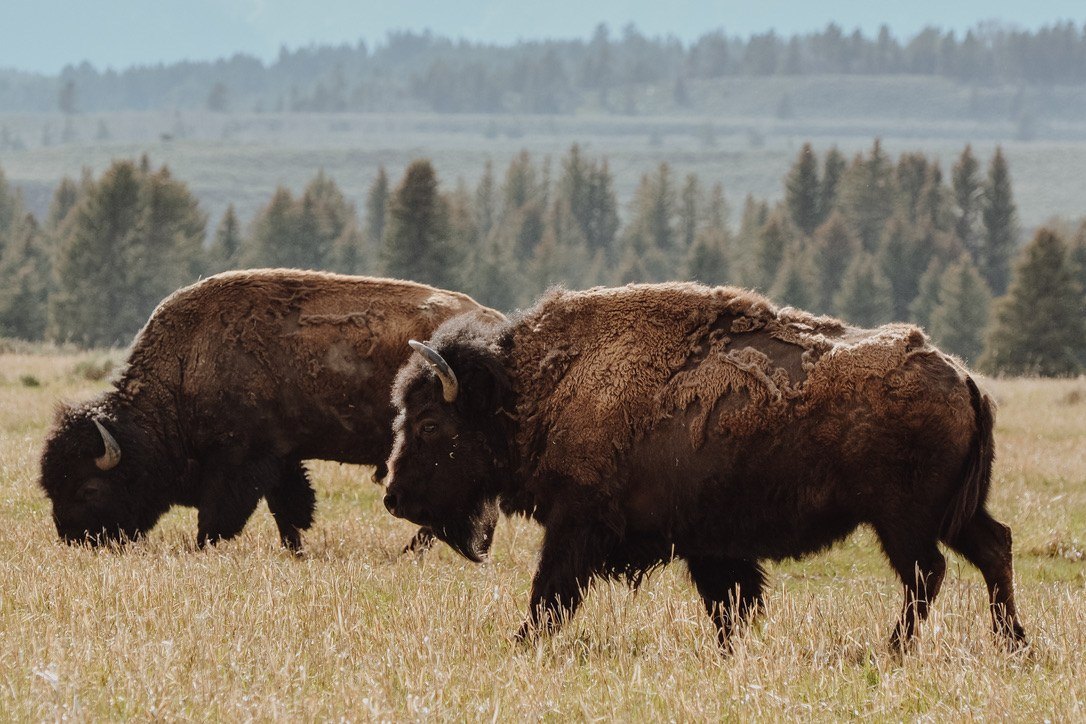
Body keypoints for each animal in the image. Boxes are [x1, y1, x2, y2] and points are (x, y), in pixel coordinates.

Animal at [40, 269, 503, 551]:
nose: (73, 537)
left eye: (89, 488)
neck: (187, 366)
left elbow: (218, 519)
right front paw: (295, 550)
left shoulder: (240, 462)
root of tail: (494, 321)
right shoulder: (282, 458)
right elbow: (288, 510)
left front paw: (206, 548)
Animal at [384, 282, 1027, 650]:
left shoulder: (578, 524)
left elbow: (551, 593)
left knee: (928, 573)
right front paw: (729, 652)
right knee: (993, 547)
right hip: (950, 514)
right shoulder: (710, 543)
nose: (393, 496)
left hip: (905, 520)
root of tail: (963, 376)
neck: (538, 390)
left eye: (430, 424)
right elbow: (732, 603)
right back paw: (1012, 644)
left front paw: (521, 642)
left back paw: (897, 648)